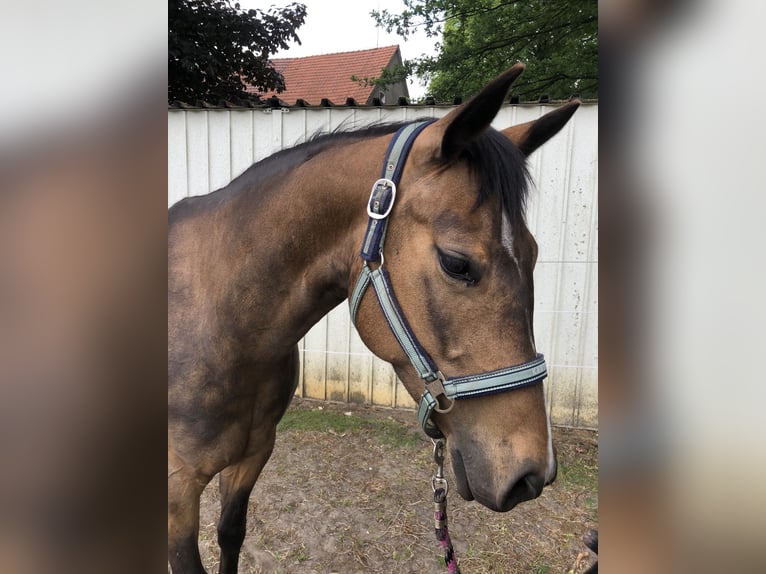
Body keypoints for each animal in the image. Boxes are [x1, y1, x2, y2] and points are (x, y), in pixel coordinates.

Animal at [171, 65, 584, 572]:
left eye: (534, 253)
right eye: (456, 263)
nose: (532, 474)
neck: (222, 325)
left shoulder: (255, 452)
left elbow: (231, 534)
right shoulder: (178, 488)